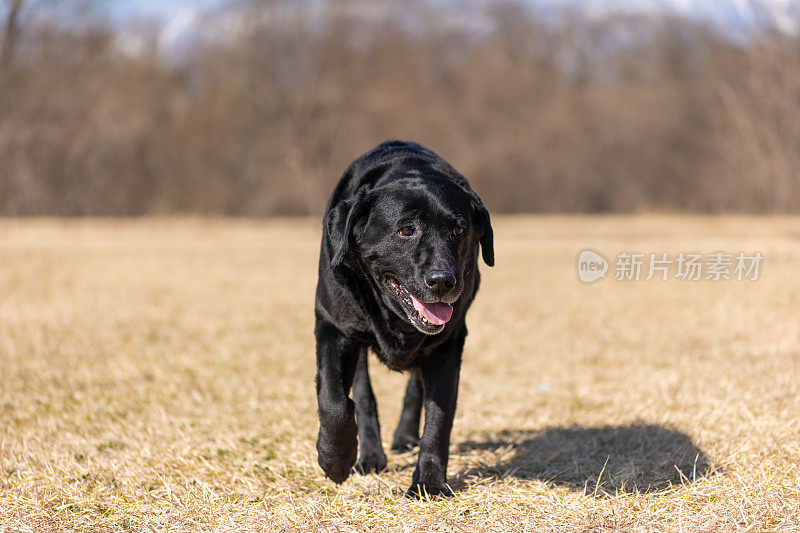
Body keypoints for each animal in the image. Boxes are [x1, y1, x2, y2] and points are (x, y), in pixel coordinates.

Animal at [314, 140, 494, 494]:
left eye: (458, 229)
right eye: (406, 230)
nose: (443, 280)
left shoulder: (449, 342)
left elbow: (438, 418)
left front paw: (429, 483)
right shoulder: (333, 325)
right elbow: (335, 401)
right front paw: (335, 460)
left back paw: (404, 437)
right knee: (362, 395)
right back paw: (370, 455)